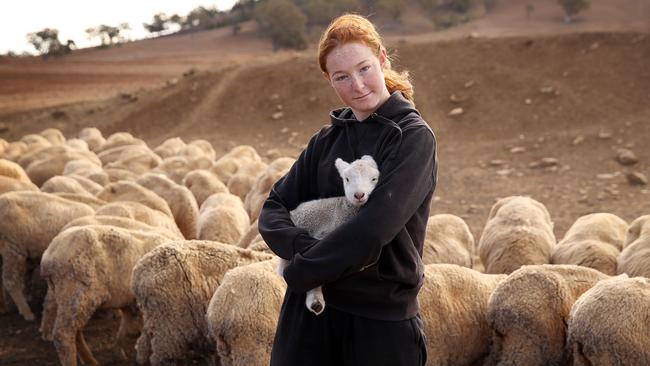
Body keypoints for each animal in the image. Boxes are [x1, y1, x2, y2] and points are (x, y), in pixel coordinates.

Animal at [40, 224, 175, 366]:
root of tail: (49, 254)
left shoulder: (130, 301)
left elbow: (127, 323)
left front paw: (119, 350)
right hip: (75, 291)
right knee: (63, 334)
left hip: (69, 296)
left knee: (75, 331)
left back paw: (90, 360)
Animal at [274, 154, 378, 314]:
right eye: (347, 179)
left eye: (374, 179)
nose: (359, 195)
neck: (344, 210)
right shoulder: (322, 235)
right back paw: (316, 302)